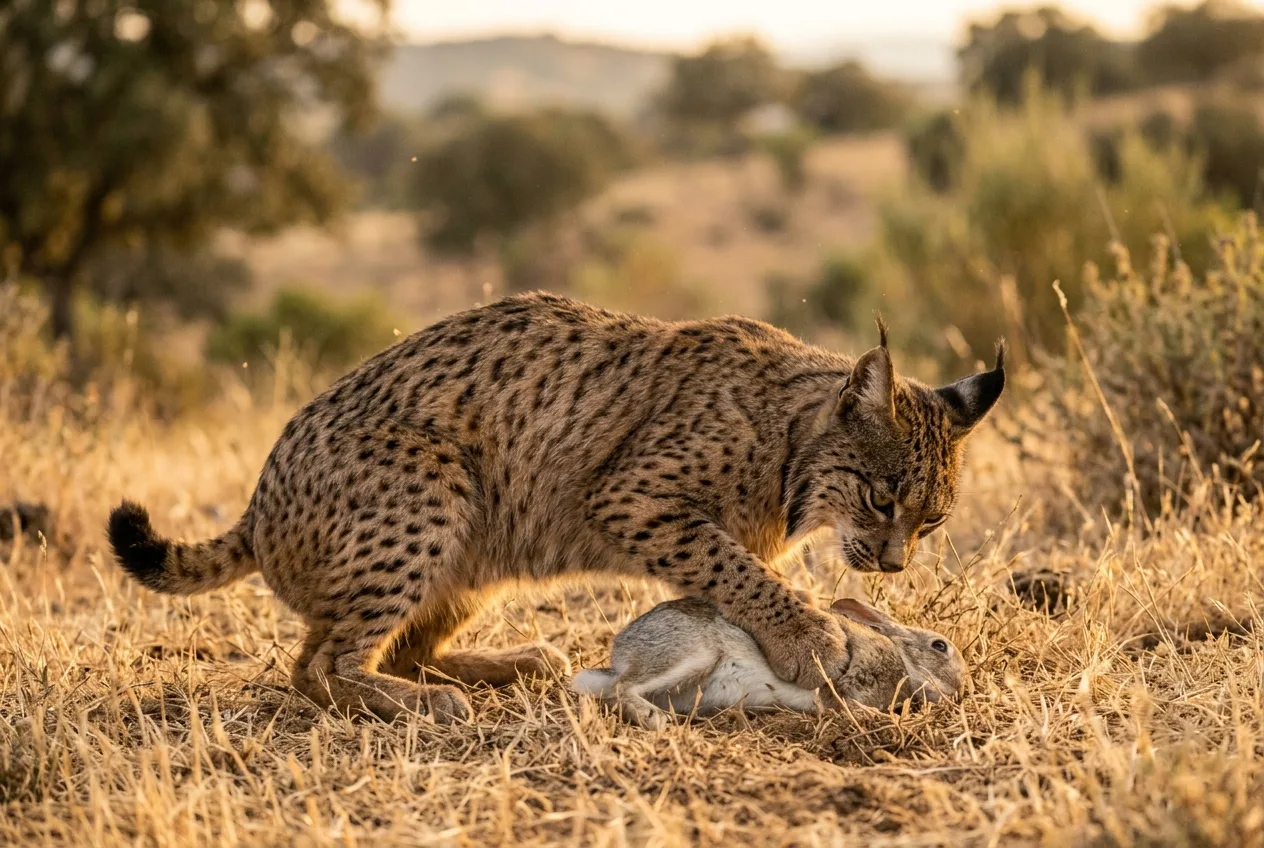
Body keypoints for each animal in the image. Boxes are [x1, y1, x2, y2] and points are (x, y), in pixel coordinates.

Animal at [571, 596, 965, 730]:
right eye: (940, 646)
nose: (962, 690)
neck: (903, 661)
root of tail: (621, 655)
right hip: (691, 654)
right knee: (623, 687)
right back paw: (653, 720)